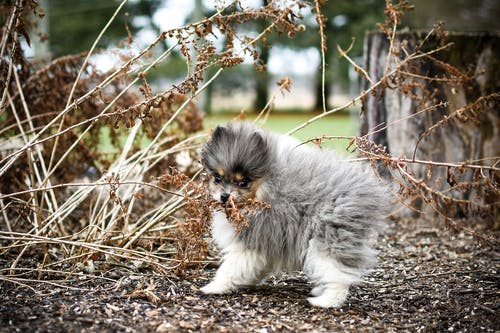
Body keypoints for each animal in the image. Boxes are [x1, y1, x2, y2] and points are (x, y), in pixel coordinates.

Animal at [200, 121, 390, 306]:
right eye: (217, 178)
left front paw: (214, 287)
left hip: (327, 239)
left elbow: (231, 268)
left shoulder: (251, 240)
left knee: (338, 276)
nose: (225, 196)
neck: (265, 189)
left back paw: (326, 301)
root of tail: (365, 192)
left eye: (243, 182)